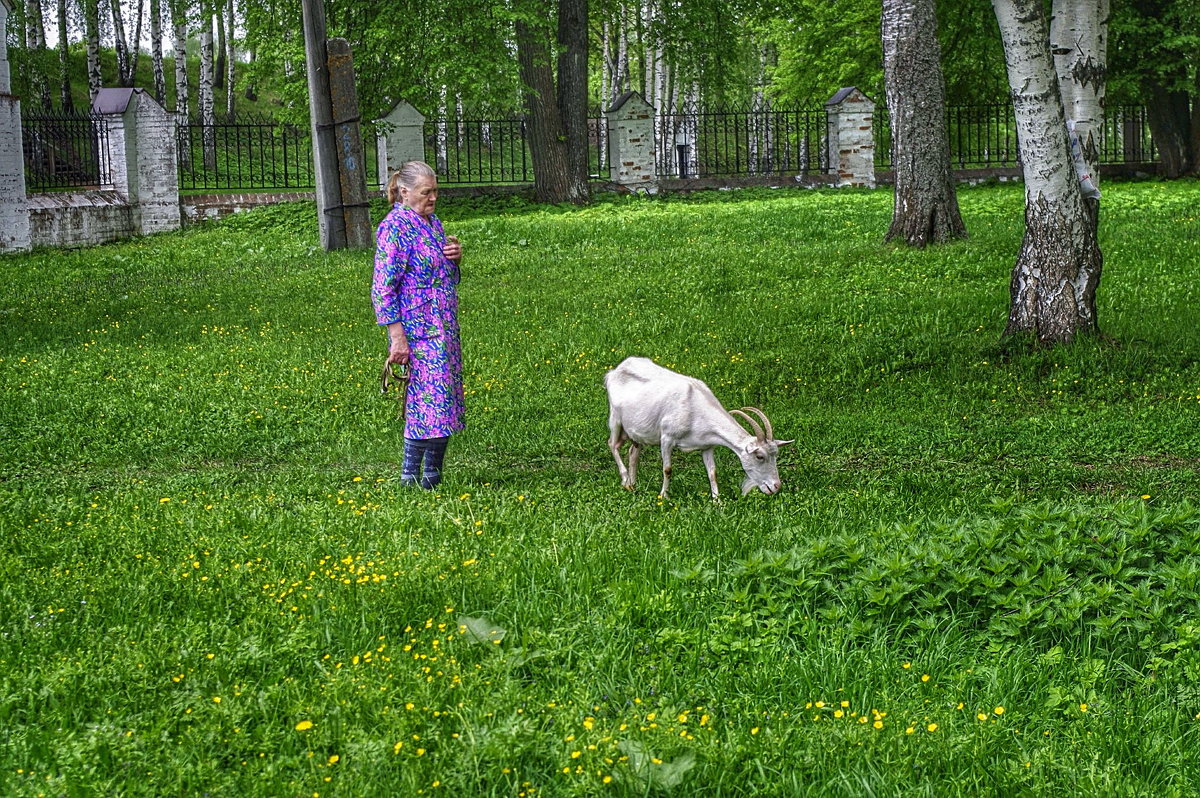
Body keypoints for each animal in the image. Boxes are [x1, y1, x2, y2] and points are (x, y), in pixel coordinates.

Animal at [604, 355, 792, 499]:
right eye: (760, 456)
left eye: (776, 455)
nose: (776, 486)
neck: (694, 407)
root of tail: (615, 371)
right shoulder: (667, 438)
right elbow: (667, 469)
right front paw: (664, 497)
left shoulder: (707, 445)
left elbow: (712, 473)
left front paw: (717, 502)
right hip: (615, 418)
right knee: (612, 444)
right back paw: (626, 481)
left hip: (637, 431)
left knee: (633, 452)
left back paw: (634, 485)